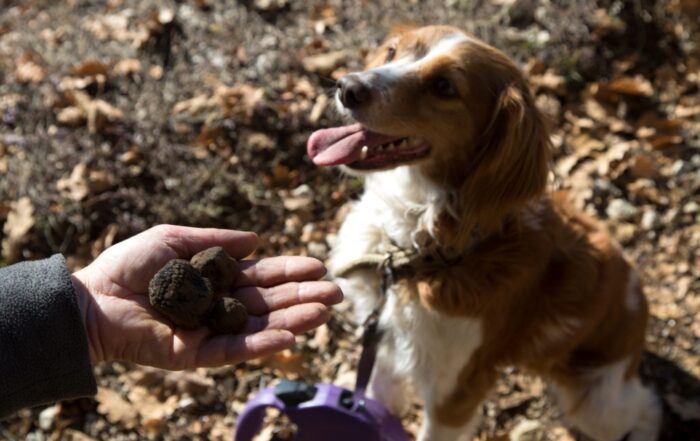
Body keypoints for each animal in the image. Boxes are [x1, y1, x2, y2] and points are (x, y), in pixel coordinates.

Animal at [308, 24, 660, 440]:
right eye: (392, 51)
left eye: (444, 86)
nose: (348, 87)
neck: (429, 251)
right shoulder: (385, 345)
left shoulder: (455, 392)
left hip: (597, 403)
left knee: (645, 407)